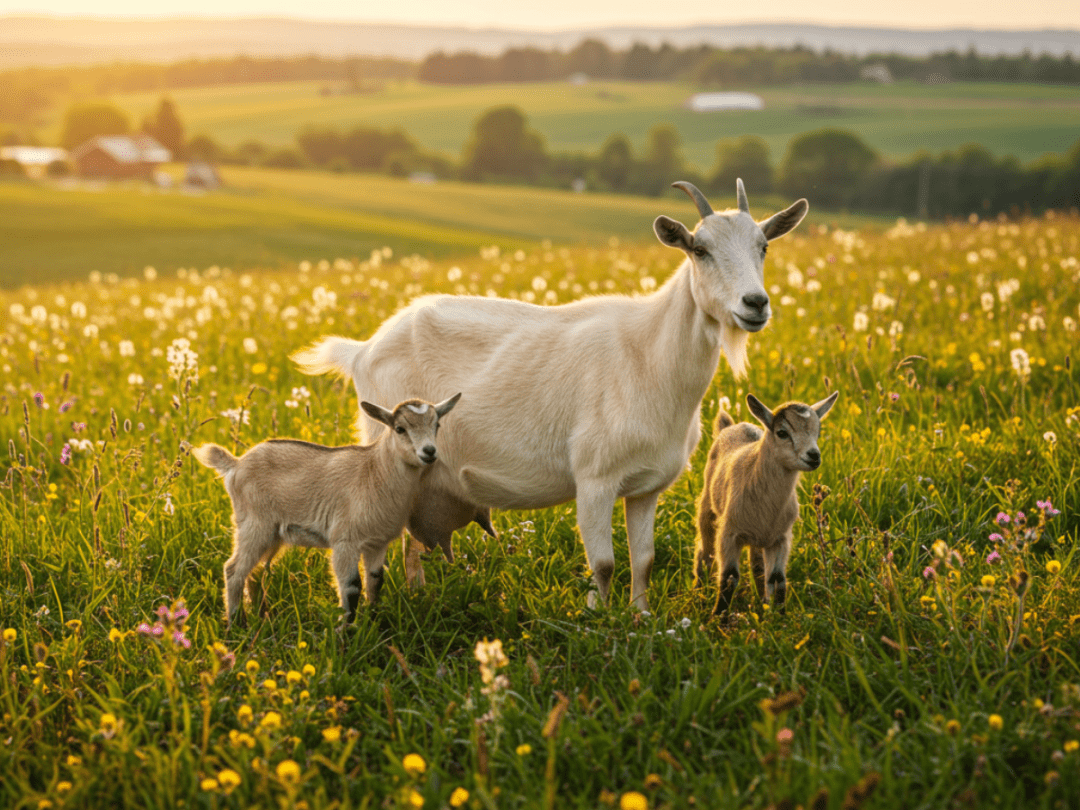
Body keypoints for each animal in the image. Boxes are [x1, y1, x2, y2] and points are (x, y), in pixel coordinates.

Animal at [191, 394, 460, 624]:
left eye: (437, 425)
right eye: (400, 429)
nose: (429, 452)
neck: (375, 471)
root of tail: (235, 464)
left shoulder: (377, 542)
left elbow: (375, 581)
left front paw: (374, 622)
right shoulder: (345, 540)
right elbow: (351, 586)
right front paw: (345, 636)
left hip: (273, 534)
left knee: (255, 572)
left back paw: (263, 618)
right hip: (254, 524)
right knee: (233, 570)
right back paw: (237, 624)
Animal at [293, 180, 808, 611]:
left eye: (763, 246)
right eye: (699, 249)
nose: (755, 304)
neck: (649, 355)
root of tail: (363, 350)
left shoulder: (647, 486)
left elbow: (643, 560)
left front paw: (641, 618)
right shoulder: (595, 478)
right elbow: (605, 564)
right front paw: (598, 620)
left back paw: (420, 596)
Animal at [694, 391, 838, 615]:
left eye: (818, 432)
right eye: (782, 432)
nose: (814, 456)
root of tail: (730, 426)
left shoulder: (781, 538)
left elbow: (777, 580)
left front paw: (779, 617)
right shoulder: (729, 534)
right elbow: (729, 577)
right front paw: (718, 617)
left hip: (759, 537)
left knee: (757, 566)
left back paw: (761, 605)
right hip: (708, 508)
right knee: (705, 553)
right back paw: (698, 594)